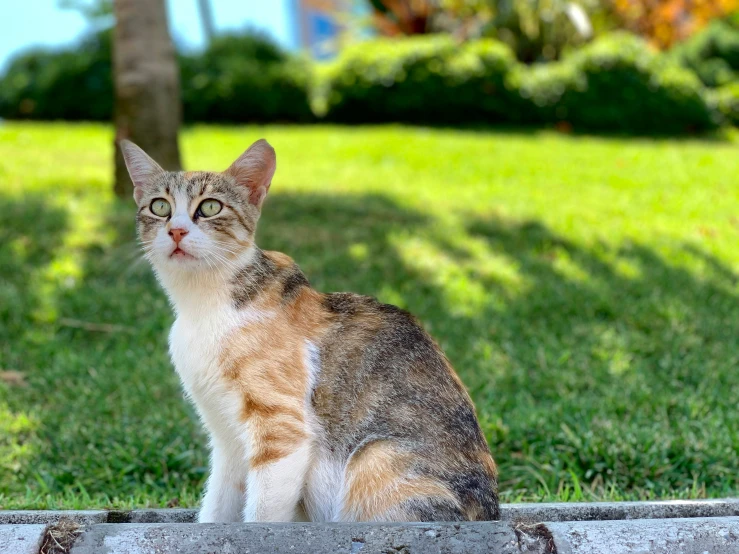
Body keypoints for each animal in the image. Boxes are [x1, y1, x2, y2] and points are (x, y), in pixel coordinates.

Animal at [121, 136, 500, 520]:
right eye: (159, 206)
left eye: (211, 207)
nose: (176, 230)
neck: (202, 306)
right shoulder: (227, 440)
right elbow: (217, 508)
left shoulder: (282, 430)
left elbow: (261, 516)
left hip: (375, 458)